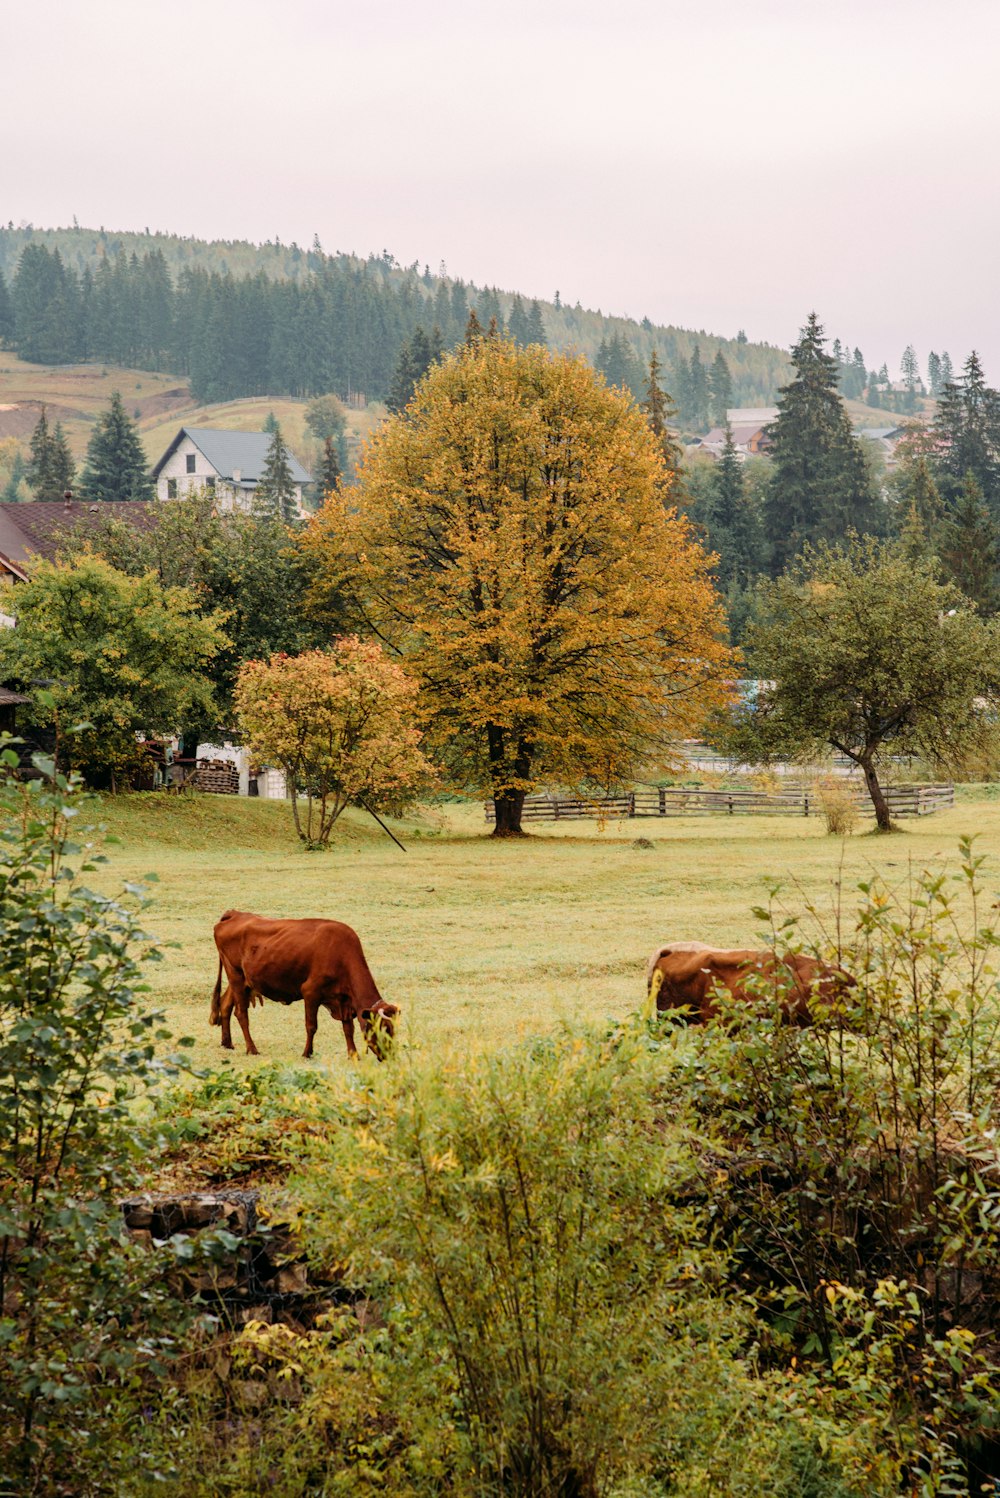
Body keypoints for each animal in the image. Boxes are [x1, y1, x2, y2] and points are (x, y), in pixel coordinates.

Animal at [209, 904, 401, 1060]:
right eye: (382, 1029)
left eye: (394, 1029)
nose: (390, 1056)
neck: (341, 954)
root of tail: (234, 914)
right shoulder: (310, 992)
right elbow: (311, 1026)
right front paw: (307, 1053)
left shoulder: (344, 1000)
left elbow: (348, 1029)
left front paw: (353, 1054)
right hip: (236, 976)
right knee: (241, 1013)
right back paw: (252, 1049)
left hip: (243, 980)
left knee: (225, 1004)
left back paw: (227, 1043)